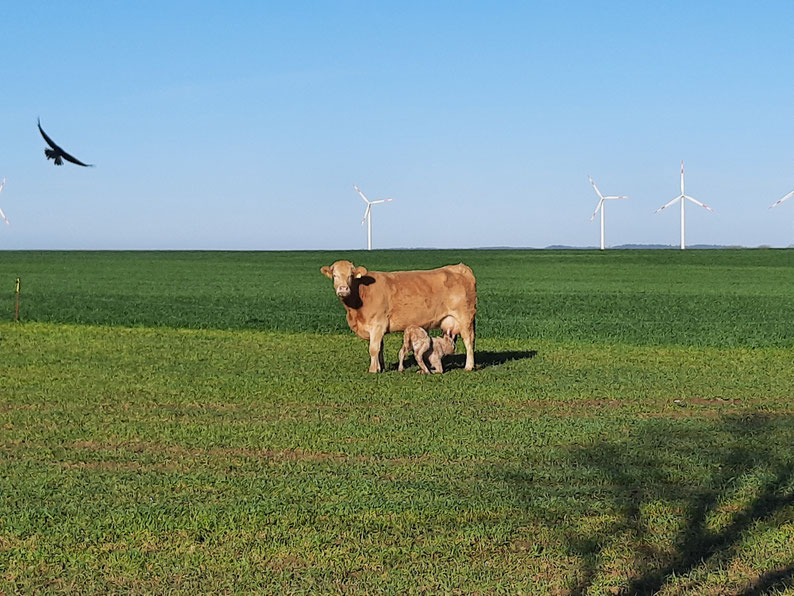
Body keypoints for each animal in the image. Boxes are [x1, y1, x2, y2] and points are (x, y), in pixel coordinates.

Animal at [318, 260, 476, 372]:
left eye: (350, 276)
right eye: (335, 276)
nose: (343, 289)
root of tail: (460, 268)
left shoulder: (377, 324)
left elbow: (373, 348)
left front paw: (372, 370)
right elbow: (380, 348)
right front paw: (380, 368)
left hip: (465, 318)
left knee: (469, 341)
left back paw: (469, 366)